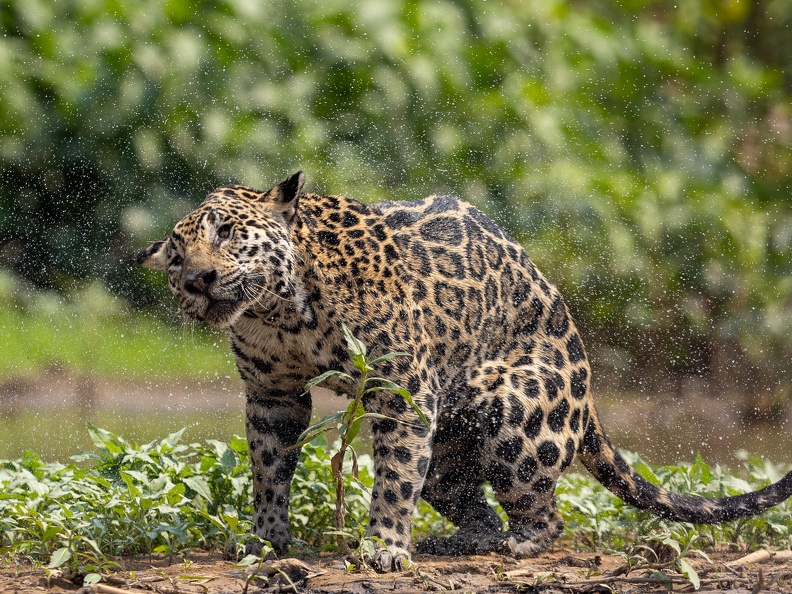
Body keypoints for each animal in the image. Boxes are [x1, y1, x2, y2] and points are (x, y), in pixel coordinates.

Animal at [138, 172, 792, 572]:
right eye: (176, 255)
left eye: (227, 233)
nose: (197, 279)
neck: (279, 312)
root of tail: (588, 389)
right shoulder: (273, 395)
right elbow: (269, 471)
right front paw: (266, 540)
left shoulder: (401, 392)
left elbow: (393, 479)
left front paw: (383, 549)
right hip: (450, 454)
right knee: (465, 500)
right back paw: (456, 541)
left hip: (513, 413)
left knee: (545, 514)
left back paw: (514, 544)